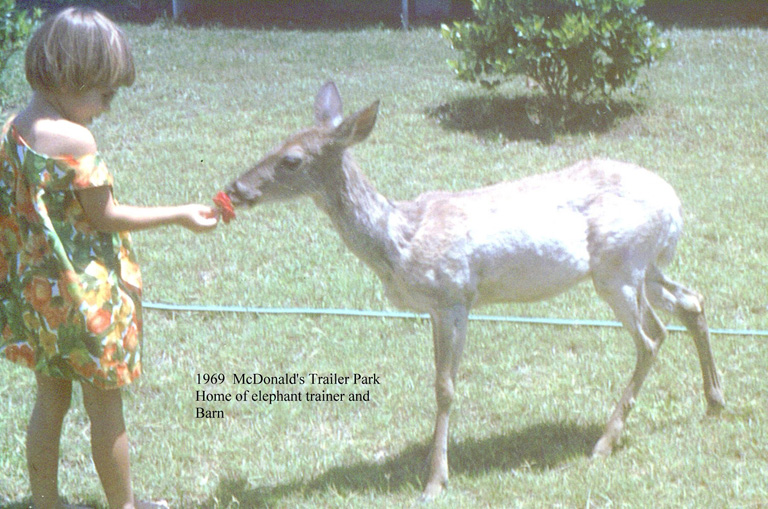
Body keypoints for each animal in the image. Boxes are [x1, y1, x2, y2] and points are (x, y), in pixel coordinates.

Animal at [224, 81, 728, 498]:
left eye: (292, 160)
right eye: (275, 143)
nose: (236, 188)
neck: (399, 241)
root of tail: (675, 204)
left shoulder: (453, 294)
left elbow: (444, 387)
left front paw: (434, 481)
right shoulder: (438, 307)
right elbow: (438, 380)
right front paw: (431, 465)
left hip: (618, 267)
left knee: (652, 337)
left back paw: (604, 442)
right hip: (647, 265)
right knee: (691, 301)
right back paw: (714, 401)